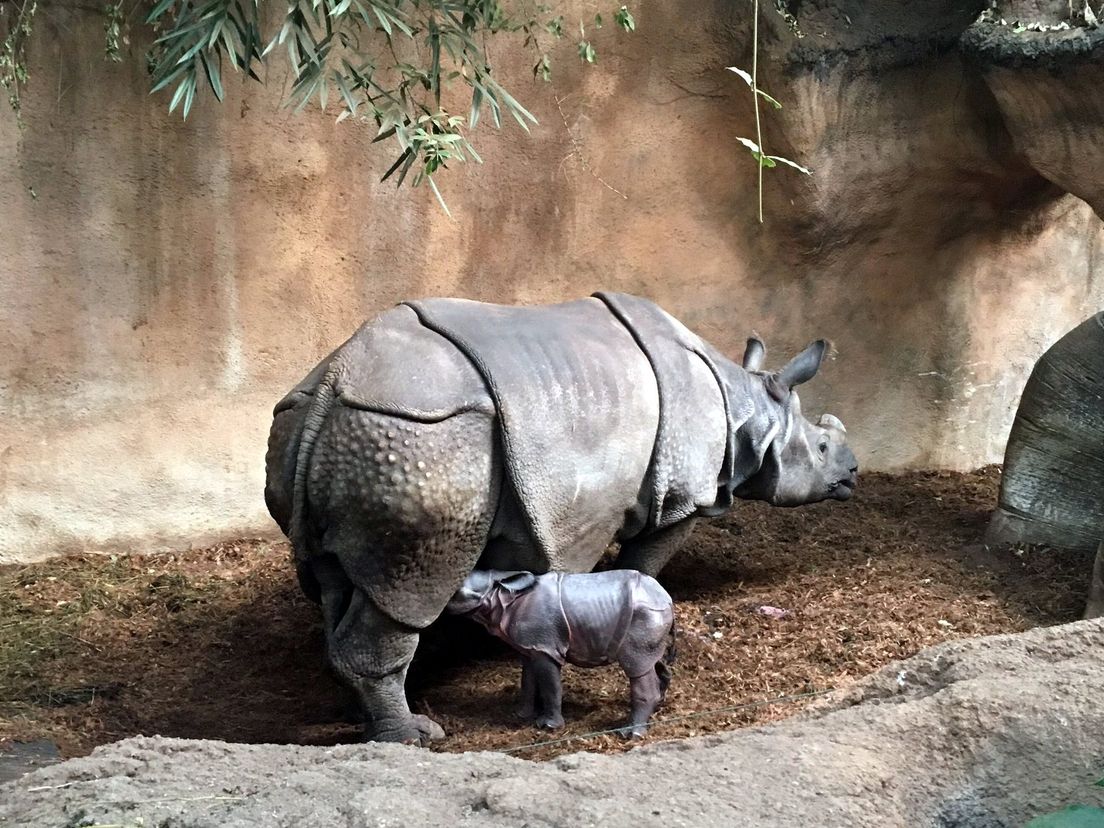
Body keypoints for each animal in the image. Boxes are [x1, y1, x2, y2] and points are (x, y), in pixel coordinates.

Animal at [446, 569, 671, 737]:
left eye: (455, 594)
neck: (502, 594)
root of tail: (667, 599)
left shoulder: (545, 647)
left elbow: (550, 685)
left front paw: (549, 726)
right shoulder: (531, 647)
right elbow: (527, 682)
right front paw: (521, 715)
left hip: (646, 614)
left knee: (636, 667)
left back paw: (630, 734)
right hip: (649, 617)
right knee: (652, 661)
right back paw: (657, 706)